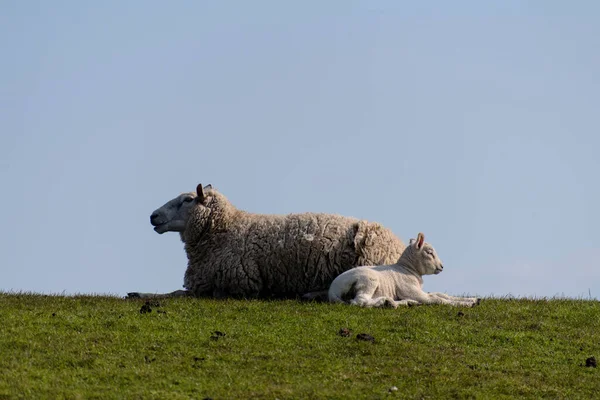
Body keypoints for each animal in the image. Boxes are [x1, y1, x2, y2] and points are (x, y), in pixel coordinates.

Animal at [128, 183, 406, 298]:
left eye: (187, 200)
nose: (153, 216)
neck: (226, 229)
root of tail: (399, 245)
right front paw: (136, 293)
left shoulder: (238, 284)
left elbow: (176, 293)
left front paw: (141, 294)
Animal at [326, 233, 480, 308]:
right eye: (429, 252)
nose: (442, 266)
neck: (407, 269)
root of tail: (332, 289)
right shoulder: (412, 291)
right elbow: (438, 299)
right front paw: (465, 304)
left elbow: (441, 294)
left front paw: (473, 299)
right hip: (368, 280)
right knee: (360, 301)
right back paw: (385, 302)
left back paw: (401, 302)